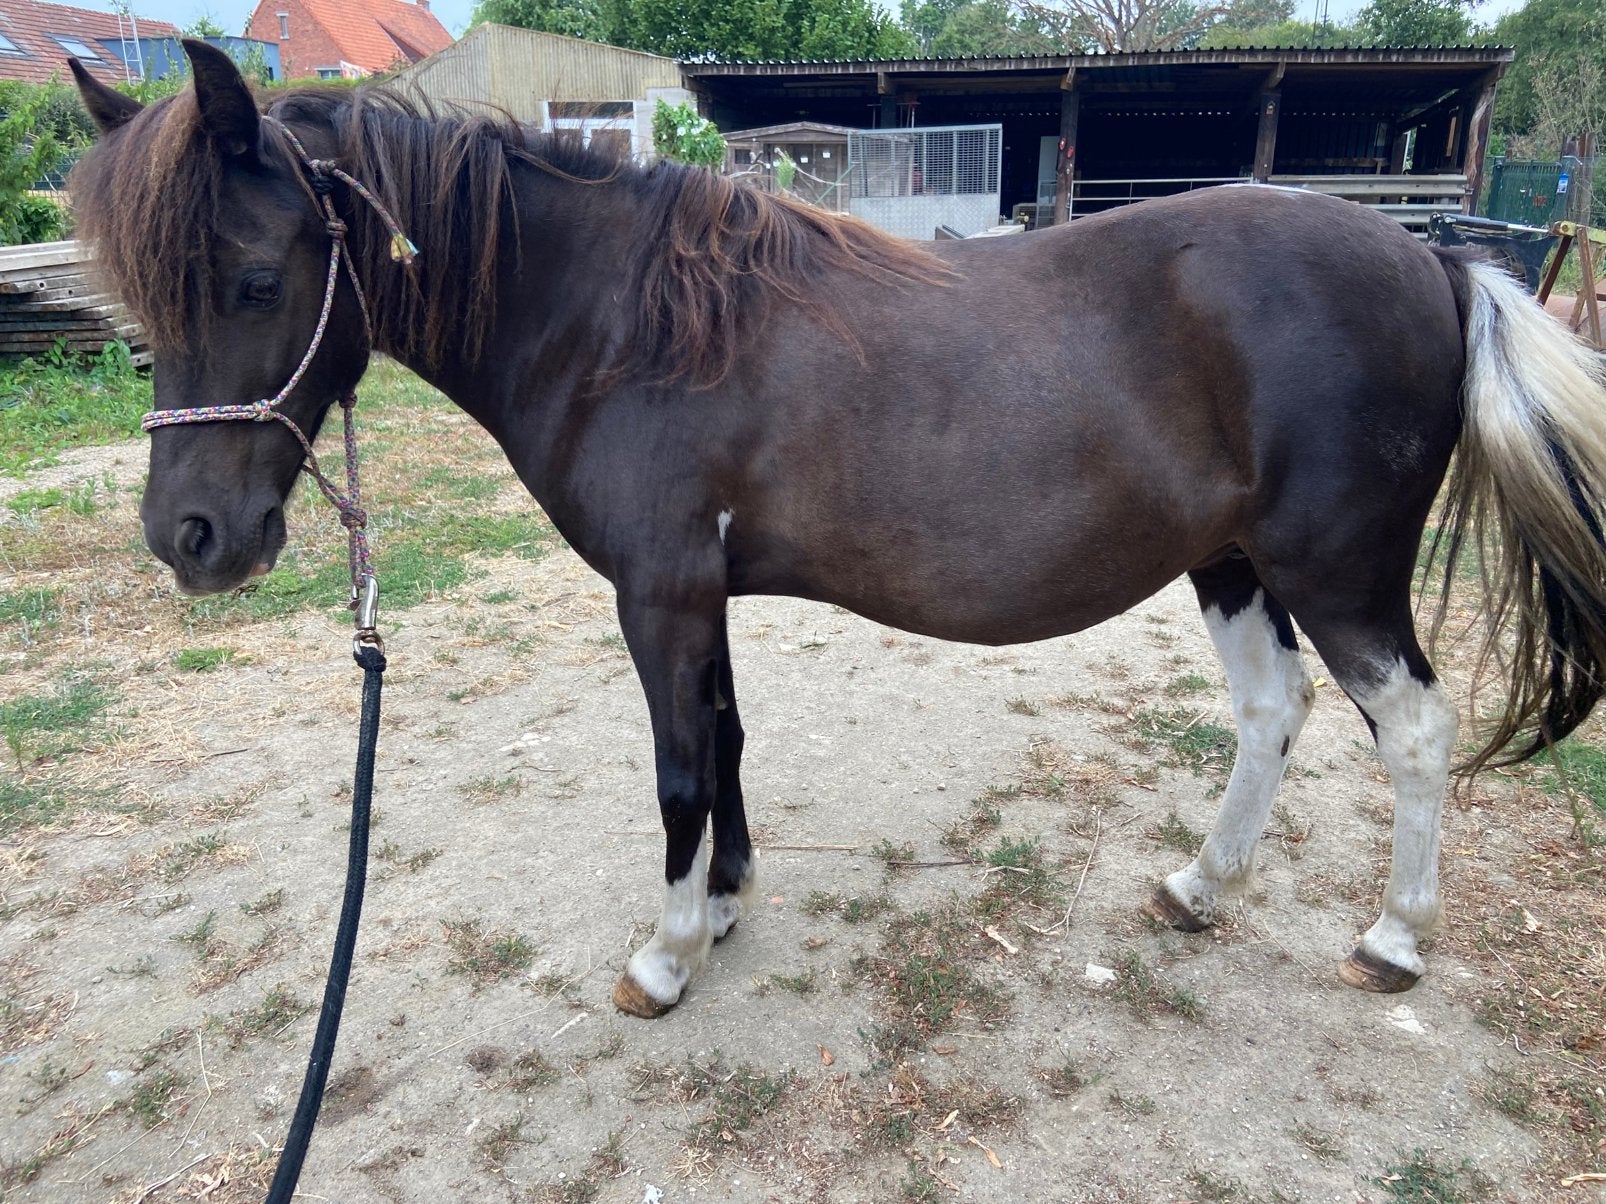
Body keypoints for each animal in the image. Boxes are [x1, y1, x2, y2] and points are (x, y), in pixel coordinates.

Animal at [70, 42, 1606, 1018]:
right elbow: (727, 742)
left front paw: (668, 956)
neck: (617, 323)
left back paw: (1393, 941)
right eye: (141, 296)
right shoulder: (702, 593)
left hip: (1336, 576)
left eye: (254, 276)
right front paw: (726, 901)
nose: (189, 536)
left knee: (1413, 729)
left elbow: (679, 771)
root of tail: (1435, 260)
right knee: (1270, 710)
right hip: (1231, 565)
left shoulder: (661, 593)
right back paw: (1196, 884)